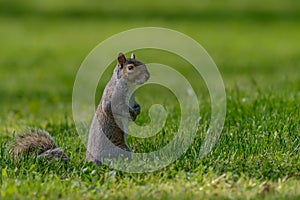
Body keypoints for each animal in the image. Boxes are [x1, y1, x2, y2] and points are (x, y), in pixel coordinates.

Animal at [12, 53, 150, 164]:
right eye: (130, 68)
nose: (147, 76)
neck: (130, 87)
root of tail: (89, 162)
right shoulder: (113, 98)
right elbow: (115, 109)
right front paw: (132, 113)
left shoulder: (132, 99)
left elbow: (135, 104)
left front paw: (138, 109)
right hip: (120, 149)